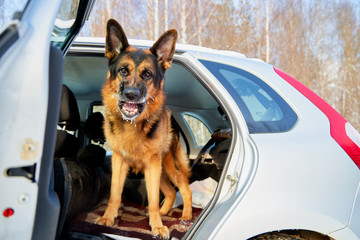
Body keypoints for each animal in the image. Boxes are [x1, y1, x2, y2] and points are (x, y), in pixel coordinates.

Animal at [95, 19, 191, 239]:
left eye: (147, 74)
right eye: (123, 70)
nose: (131, 94)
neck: (133, 125)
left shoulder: (152, 165)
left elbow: (153, 199)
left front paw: (156, 226)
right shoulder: (119, 161)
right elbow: (115, 193)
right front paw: (108, 218)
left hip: (166, 167)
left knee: (183, 187)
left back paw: (186, 217)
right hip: (161, 171)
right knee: (171, 192)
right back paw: (164, 213)